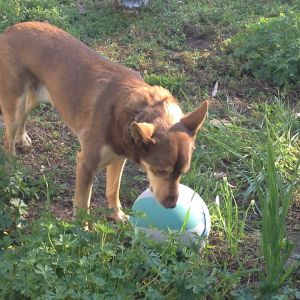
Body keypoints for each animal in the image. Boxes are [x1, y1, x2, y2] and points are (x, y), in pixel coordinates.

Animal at [0, 22, 207, 220]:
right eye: (160, 171)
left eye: (183, 172)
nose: (171, 206)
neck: (134, 113)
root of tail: (10, 30)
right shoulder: (86, 164)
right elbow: (82, 207)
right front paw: (82, 229)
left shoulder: (119, 158)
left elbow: (112, 190)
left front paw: (117, 215)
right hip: (15, 104)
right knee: (8, 138)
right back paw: (11, 170)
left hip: (37, 96)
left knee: (23, 118)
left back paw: (22, 137)